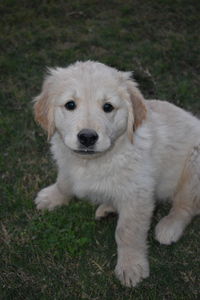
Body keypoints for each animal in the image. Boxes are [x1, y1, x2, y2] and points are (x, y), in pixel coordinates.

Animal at [33, 59, 200, 288]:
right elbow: (64, 182)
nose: (87, 137)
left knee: (186, 205)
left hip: (194, 164)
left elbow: (127, 232)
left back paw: (169, 226)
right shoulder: (67, 165)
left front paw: (131, 266)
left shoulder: (137, 194)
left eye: (108, 107)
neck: (94, 161)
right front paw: (53, 197)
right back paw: (108, 207)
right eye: (70, 105)